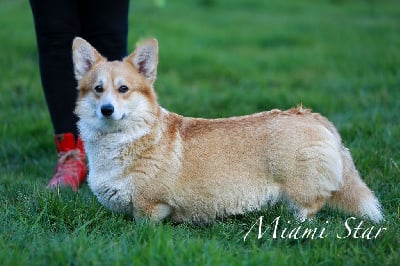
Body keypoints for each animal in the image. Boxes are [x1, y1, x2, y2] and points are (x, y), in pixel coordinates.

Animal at [72, 37, 384, 224]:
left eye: (123, 89)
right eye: (98, 89)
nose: (107, 110)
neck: (124, 137)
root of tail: (313, 116)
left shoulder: (150, 207)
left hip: (300, 184)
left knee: (311, 206)